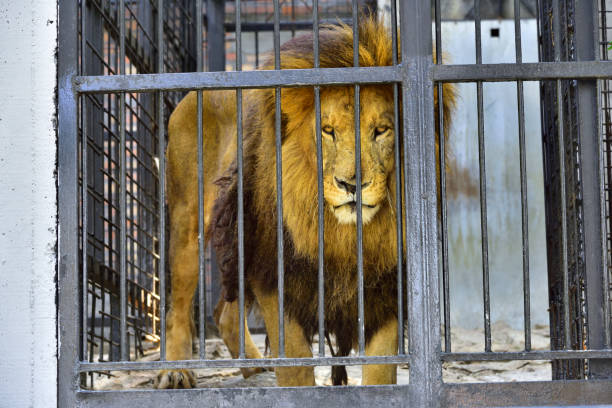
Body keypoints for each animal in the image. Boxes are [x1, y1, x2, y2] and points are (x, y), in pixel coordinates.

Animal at [158, 17, 454, 388]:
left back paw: (254, 368)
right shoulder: (273, 272)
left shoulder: (386, 284)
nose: (352, 184)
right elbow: (296, 364)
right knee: (178, 307)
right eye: (327, 131)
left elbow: (380, 369)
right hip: (190, 223)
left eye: (381, 130)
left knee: (223, 313)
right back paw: (175, 370)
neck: (341, 235)